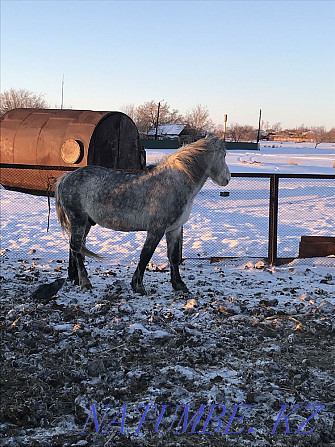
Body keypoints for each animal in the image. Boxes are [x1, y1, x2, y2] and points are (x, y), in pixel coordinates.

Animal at [56, 138, 232, 296]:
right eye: (223, 155)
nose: (227, 179)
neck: (174, 183)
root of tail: (66, 178)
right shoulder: (156, 230)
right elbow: (145, 256)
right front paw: (138, 286)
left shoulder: (174, 229)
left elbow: (173, 257)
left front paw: (179, 285)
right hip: (78, 220)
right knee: (76, 248)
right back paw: (85, 283)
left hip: (86, 223)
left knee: (75, 248)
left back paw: (75, 279)